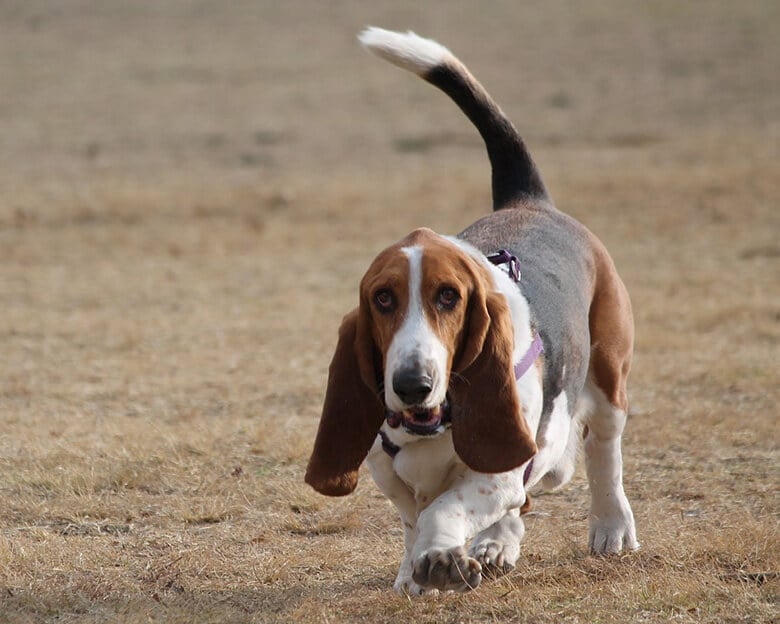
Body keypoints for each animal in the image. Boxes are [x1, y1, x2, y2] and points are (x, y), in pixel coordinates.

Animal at [302, 28, 636, 596]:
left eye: (448, 297)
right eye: (382, 298)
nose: (412, 384)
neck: (434, 424)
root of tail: (529, 200)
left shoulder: (495, 471)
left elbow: (445, 507)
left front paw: (438, 557)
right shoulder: (391, 474)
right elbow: (415, 516)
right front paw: (415, 571)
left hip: (608, 376)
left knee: (601, 453)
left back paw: (610, 527)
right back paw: (498, 543)